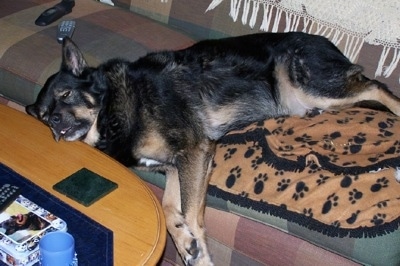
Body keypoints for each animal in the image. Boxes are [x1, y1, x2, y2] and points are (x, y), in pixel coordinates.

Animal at [25, 32, 400, 264]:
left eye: (65, 95)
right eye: (43, 116)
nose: (55, 122)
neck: (114, 106)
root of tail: (330, 45)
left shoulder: (194, 150)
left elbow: (191, 212)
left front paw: (198, 251)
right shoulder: (176, 166)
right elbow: (168, 207)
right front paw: (184, 242)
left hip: (307, 83)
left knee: (377, 87)